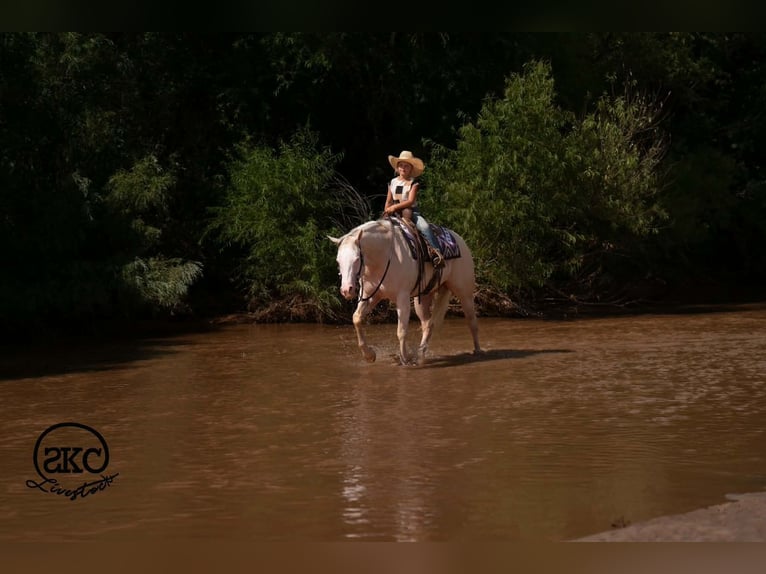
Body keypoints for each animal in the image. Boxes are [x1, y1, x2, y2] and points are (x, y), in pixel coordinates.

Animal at [329, 217, 481, 365]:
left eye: (356, 259)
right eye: (338, 261)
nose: (347, 290)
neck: (384, 255)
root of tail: (460, 240)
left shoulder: (402, 297)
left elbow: (401, 331)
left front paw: (405, 358)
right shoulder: (371, 295)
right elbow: (356, 318)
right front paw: (369, 355)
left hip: (464, 293)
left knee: (472, 321)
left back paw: (478, 351)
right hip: (423, 298)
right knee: (428, 324)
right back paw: (420, 355)